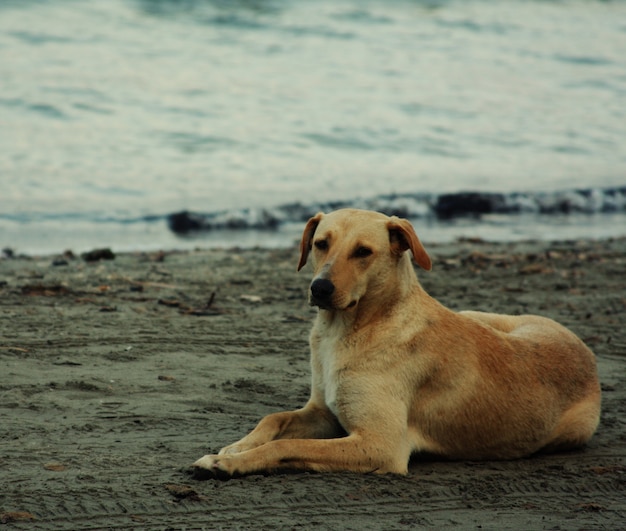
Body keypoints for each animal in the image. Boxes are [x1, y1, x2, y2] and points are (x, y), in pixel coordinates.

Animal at [191, 209, 600, 478]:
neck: (350, 329)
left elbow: (288, 446)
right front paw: (238, 446)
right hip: (479, 313)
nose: (319, 288)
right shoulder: (324, 413)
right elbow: (274, 418)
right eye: (321, 244)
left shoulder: (380, 445)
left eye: (363, 252)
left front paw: (228, 462)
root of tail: (586, 352)